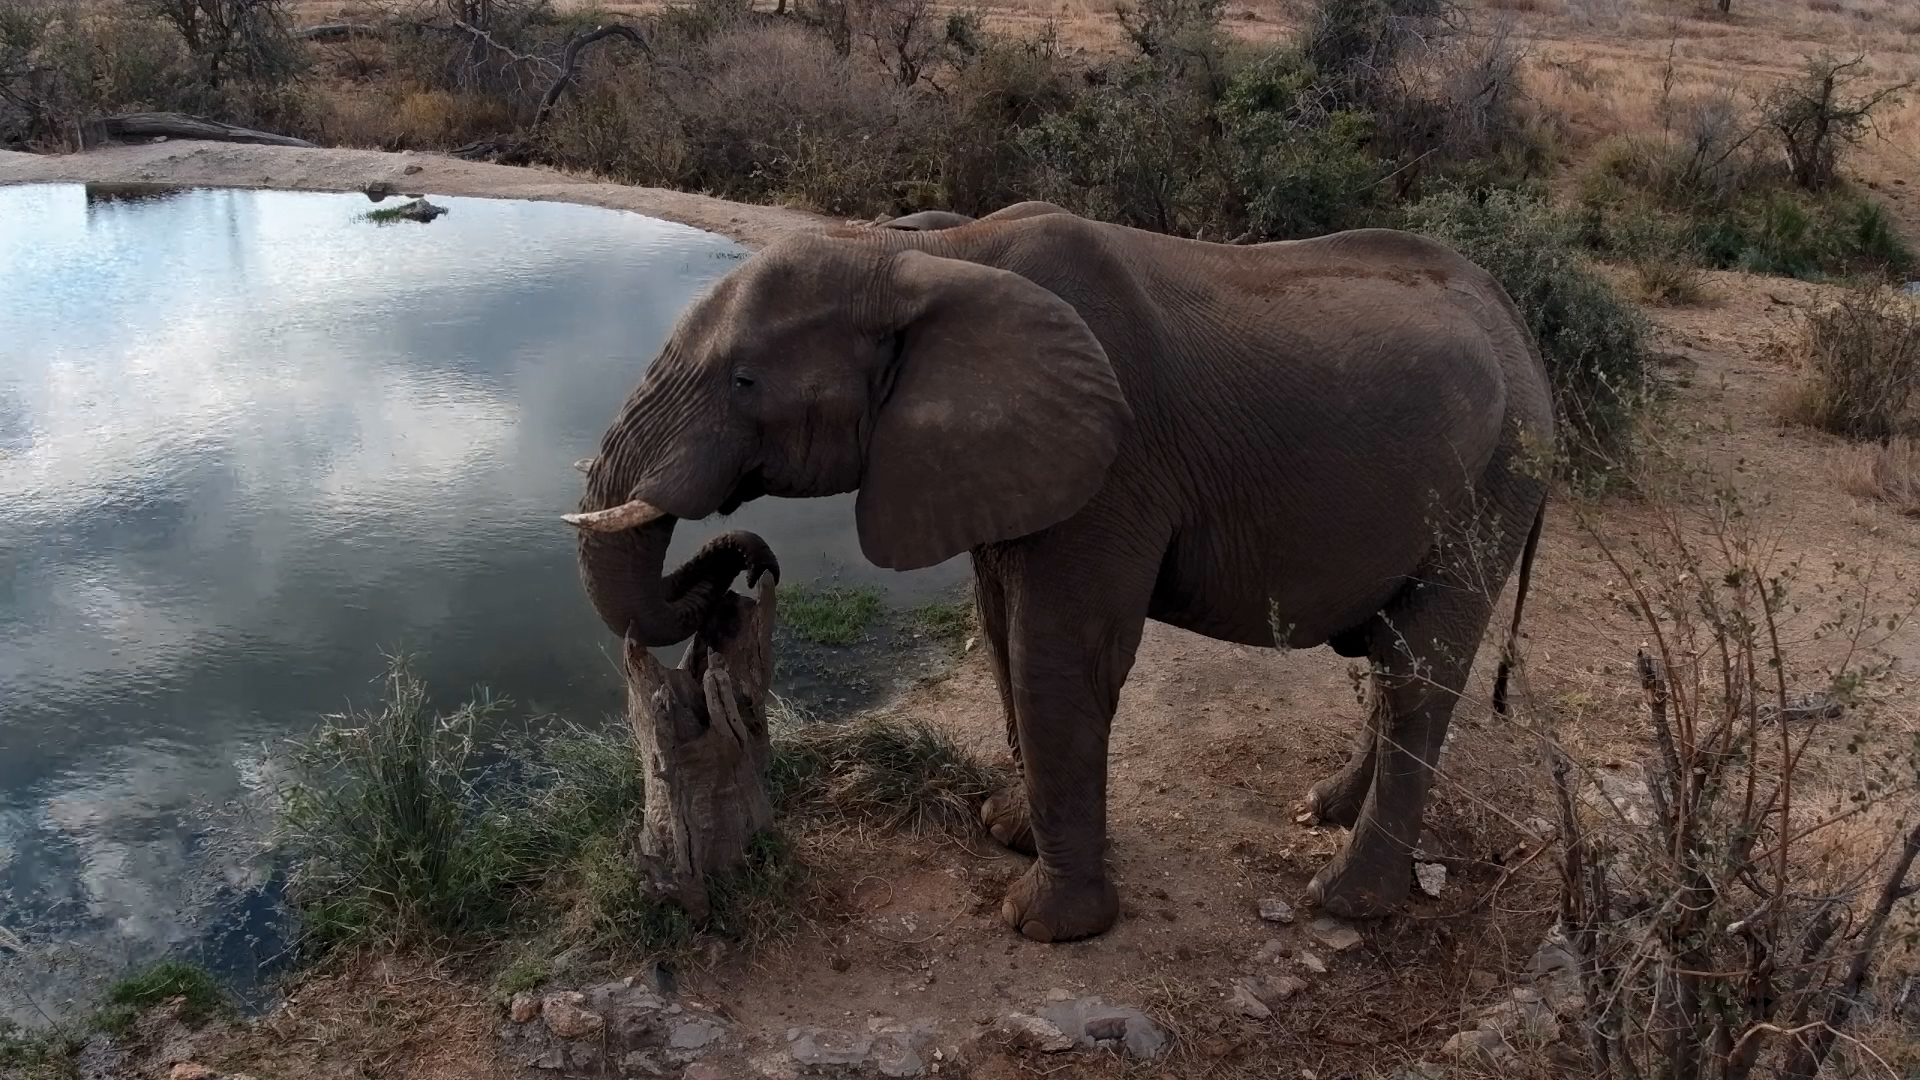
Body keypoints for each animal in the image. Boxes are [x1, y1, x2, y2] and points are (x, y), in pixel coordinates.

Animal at [567, 210, 1553, 943]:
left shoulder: (1114, 466)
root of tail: (1523, 331)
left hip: (1496, 482)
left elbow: (1057, 653)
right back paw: (1325, 809)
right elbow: (1002, 630)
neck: (925, 255)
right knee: (1392, 664)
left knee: (1420, 674)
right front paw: (1008, 832)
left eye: (743, 382)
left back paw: (1347, 901)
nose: (749, 568)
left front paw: (1042, 922)